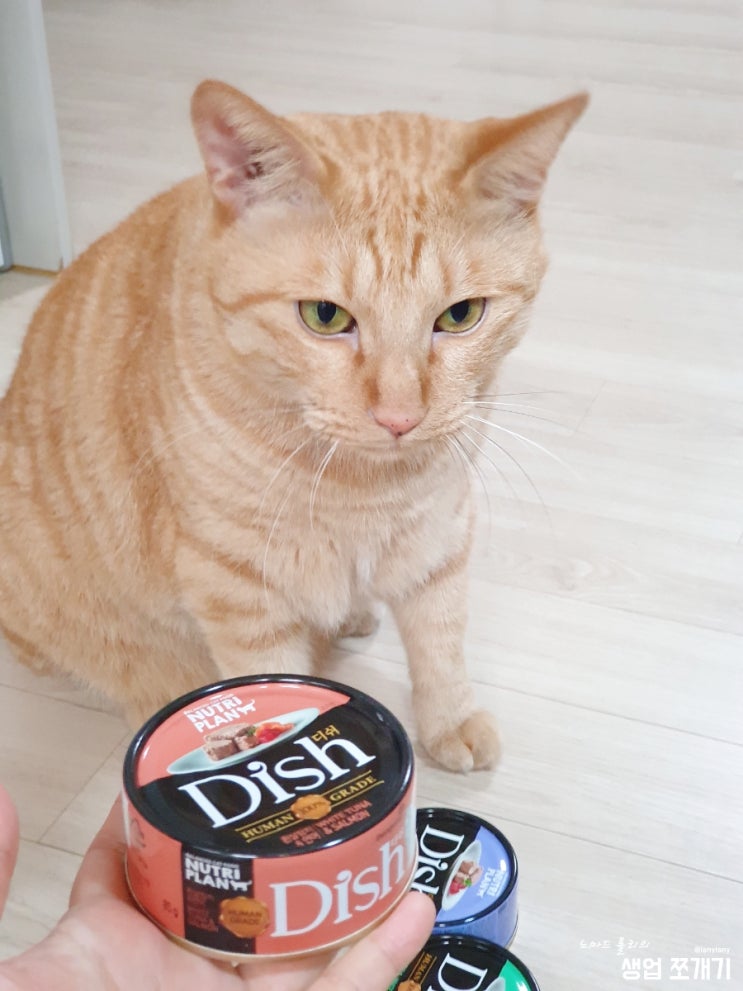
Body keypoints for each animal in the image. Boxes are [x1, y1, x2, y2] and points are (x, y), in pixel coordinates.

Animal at [0, 80, 586, 772]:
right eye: (325, 317)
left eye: (461, 315)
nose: (400, 417)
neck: (362, 489)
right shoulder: (238, 589)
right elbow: (270, 681)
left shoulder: (438, 529)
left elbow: (440, 636)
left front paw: (450, 718)